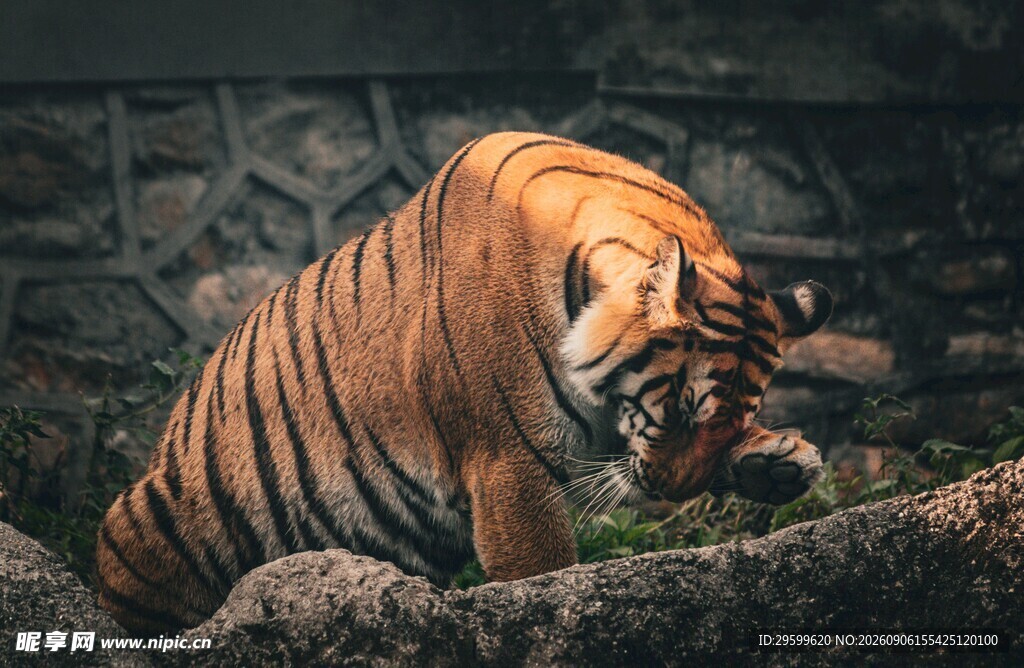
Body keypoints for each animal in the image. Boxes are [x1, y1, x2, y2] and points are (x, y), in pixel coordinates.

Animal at [96, 131, 833, 633]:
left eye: (732, 420)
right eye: (679, 407)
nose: (673, 495)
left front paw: (776, 462)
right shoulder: (509, 464)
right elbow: (544, 577)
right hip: (144, 520)